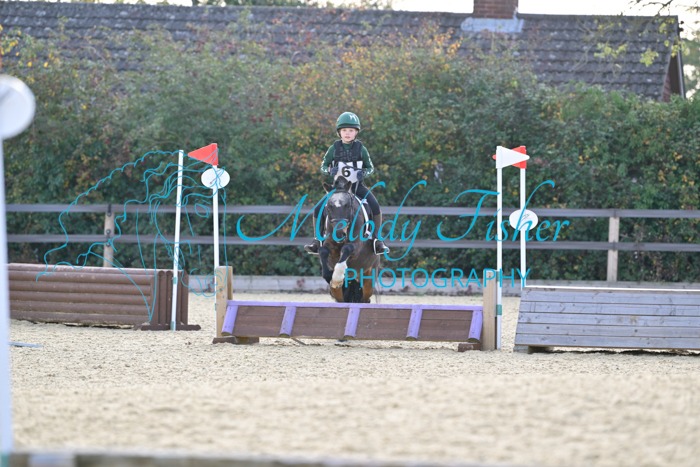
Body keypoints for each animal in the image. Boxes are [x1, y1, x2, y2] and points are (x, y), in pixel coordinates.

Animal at [317, 172, 380, 303]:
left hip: (368, 280)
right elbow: (323, 250)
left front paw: (337, 277)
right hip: (339, 294)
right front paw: (329, 275)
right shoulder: (329, 242)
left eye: (347, 206)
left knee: (365, 298)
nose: (339, 234)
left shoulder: (357, 245)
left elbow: (347, 248)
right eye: (329, 206)